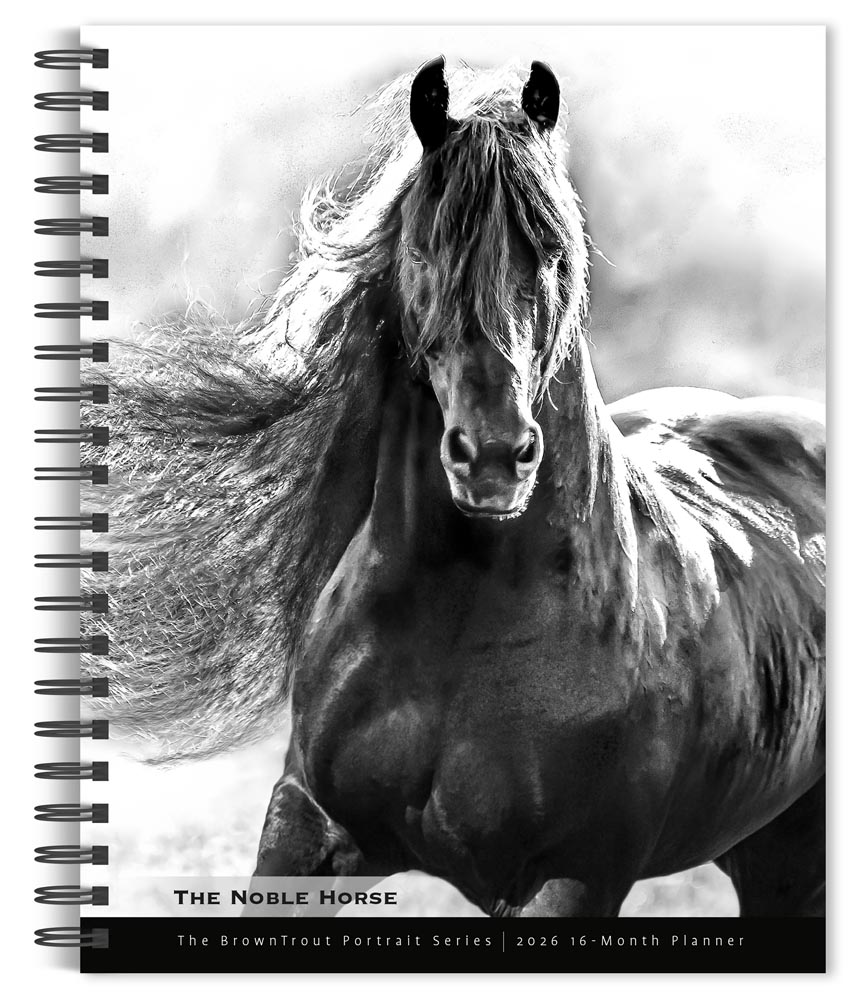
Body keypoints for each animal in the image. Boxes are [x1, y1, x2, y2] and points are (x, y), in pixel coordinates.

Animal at [84, 58, 825, 918]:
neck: (462, 621)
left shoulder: (571, 876)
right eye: (427, 244)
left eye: (553, 250)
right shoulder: (310, 823)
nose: (495, 456)